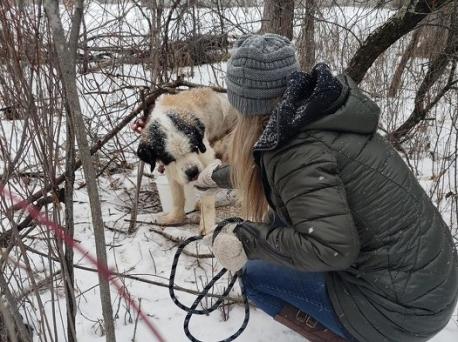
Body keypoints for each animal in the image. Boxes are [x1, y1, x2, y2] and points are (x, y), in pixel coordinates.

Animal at [137, 87, 238, 235]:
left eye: (194, 147)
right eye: (169, 158)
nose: (192, 172)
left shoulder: (206, 158)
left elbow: (207, 196)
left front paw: (206, 226)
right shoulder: (171, 169)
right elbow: (177, 196)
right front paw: (175, 217)